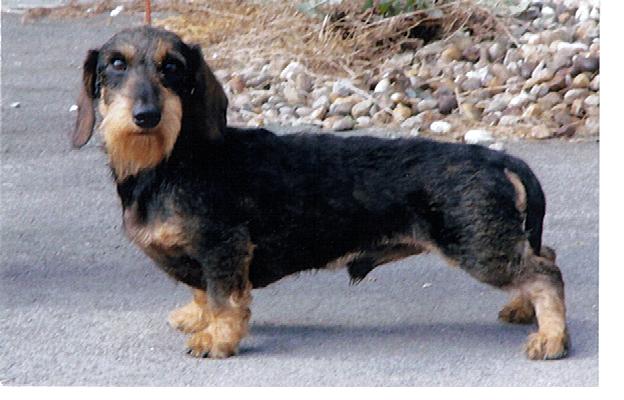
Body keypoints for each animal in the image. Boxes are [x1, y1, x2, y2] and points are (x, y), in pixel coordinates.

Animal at [71, 26, 569, 360]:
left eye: (171, 68)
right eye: (116, 64)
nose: (146, 116)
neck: (169, 160)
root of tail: (495, 158)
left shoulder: (224, 248)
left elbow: (224, 299)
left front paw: (216, 339)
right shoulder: (206, 255)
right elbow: (202, 292)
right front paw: (197, 317)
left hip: (478, 248)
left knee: (546, 273)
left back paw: (551, 337)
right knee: (544, 255)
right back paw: (524, 310)